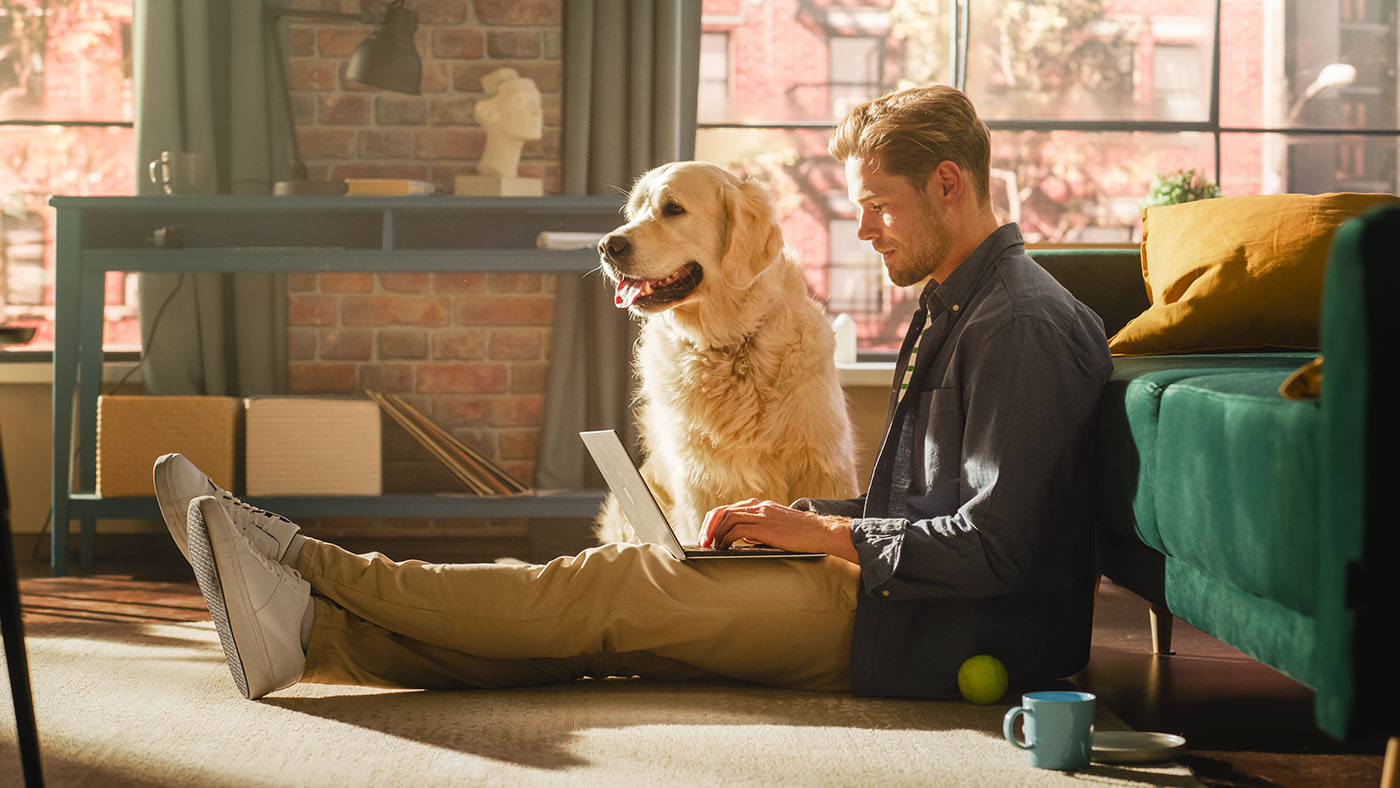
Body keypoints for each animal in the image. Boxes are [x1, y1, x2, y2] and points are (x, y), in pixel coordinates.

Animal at [588, 159, 851, 543]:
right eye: (632, 213)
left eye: (673, 209)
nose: (607, 246)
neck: (731, 344)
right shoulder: (698, 483)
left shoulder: (824, 467)